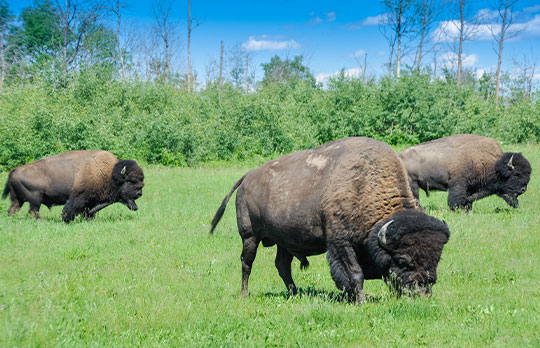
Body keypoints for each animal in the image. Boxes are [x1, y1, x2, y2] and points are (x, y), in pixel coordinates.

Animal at [2, 150, 144, 223]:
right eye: (131, 181)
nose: (140, 193)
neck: (110, 174)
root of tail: (14, 170)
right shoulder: (78, 198)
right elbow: (70, 210)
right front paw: (66, 220)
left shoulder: (91, 202)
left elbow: (89, 212)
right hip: (35, 198)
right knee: (33, 210)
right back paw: (44, 221)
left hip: (18, 200)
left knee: (13, 210)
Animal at [211, 137, 452, 304]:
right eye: (402, 260)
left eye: (436, 258)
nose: (422, 292)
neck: (364, 185)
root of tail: (247, 177)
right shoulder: (341, 243)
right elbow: (354, 273)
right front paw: (360, 300)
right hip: (249, 236)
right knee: (247, 263)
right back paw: (244, 294)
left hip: (284, 241)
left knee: (282, 266)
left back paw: (295, 293)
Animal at [398, 134, 532, 211]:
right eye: (516, 175)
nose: (523, 189)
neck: (494, 165)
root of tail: (399, 156)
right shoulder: (458, 186)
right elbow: (456, 199)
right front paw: (458, 209)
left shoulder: (472, 187)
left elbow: (469, 200)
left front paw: (468, 210)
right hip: (412, 184)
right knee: (415, 199)